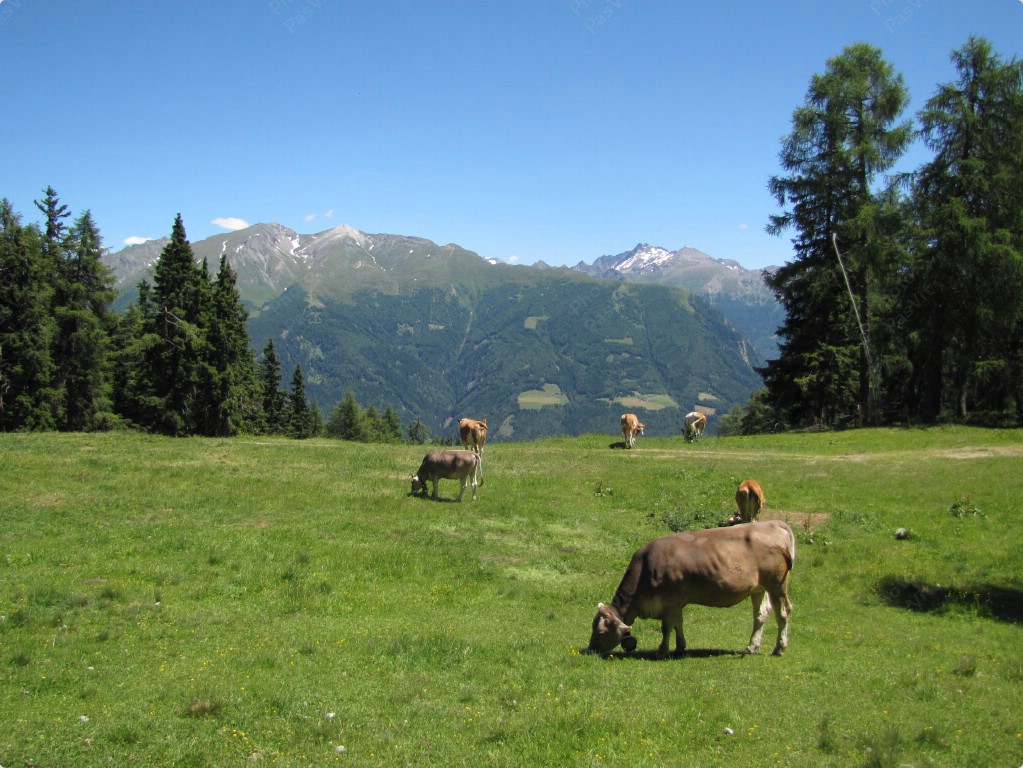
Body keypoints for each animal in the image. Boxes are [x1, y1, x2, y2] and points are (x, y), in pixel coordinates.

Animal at [589, 523, 793, 662]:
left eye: (600, 632)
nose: (590, 649)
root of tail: (774, 523)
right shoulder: (676, 603)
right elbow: (678, 624)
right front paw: (680, 648)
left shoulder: (670, 601)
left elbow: (666, 627)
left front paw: (662, 651)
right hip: (759, 588)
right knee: (760, 614)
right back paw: (751, 646)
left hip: (777, 585)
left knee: (783, 613)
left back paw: (779, 648)